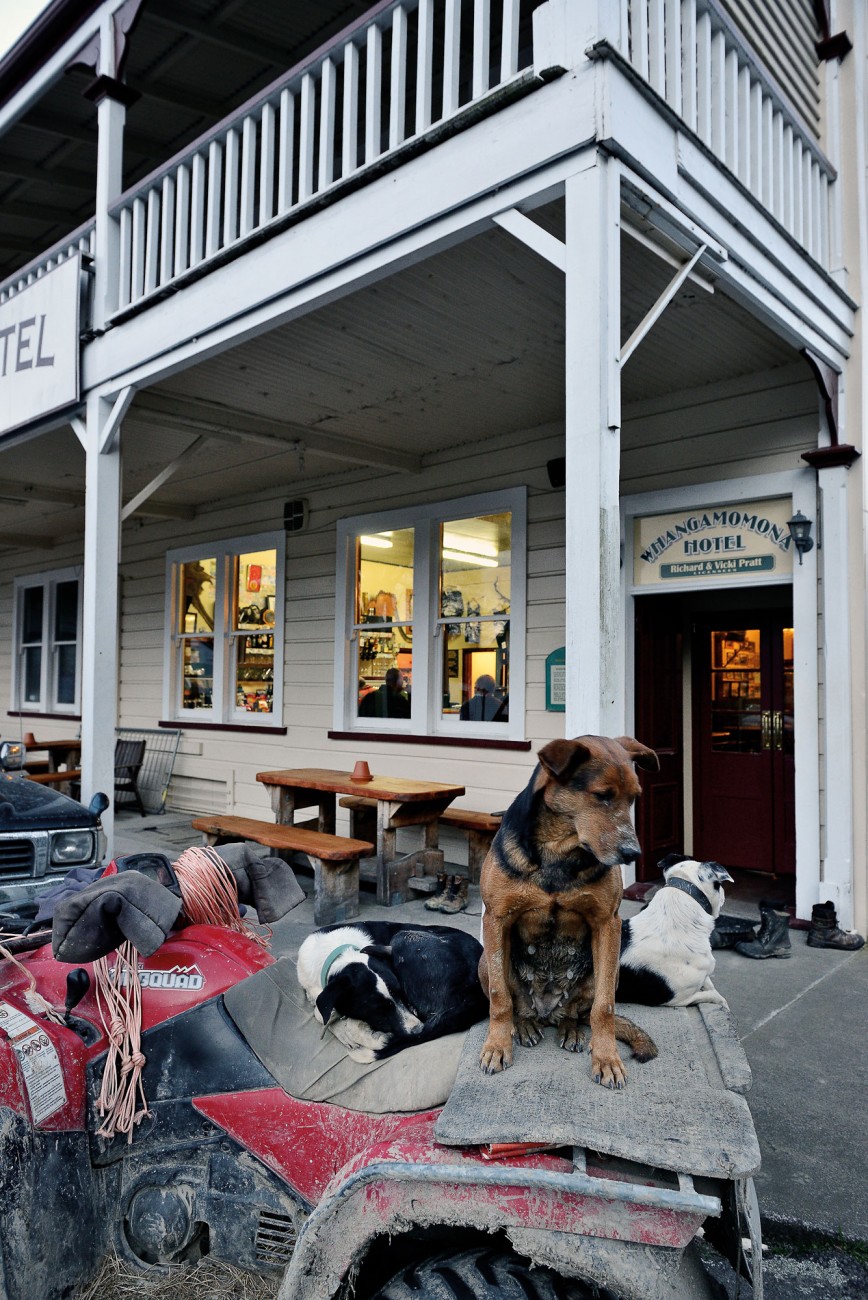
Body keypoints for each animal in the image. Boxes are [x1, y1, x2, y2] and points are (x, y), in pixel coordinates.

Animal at [296, 920, 488, 1060]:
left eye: (401, 993)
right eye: (378, 1009)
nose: (417, 1030)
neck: (339, 953)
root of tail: (475, 997)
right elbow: (320, 1012)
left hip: (403, 936)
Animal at [480, 738, 657, 1092]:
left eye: (634, 798)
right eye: (602, 795)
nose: (633, 854)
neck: (559, 849)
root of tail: (547, 1013)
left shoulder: (608, 923)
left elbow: (604, 1007)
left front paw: (607, 1059)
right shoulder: (495, 919)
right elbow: (499, 997)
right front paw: (497, 1046)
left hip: (611, 969)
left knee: (579, 1012)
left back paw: (571, 1030)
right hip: (484, 961)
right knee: (517, 1005)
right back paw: (523, 1025)